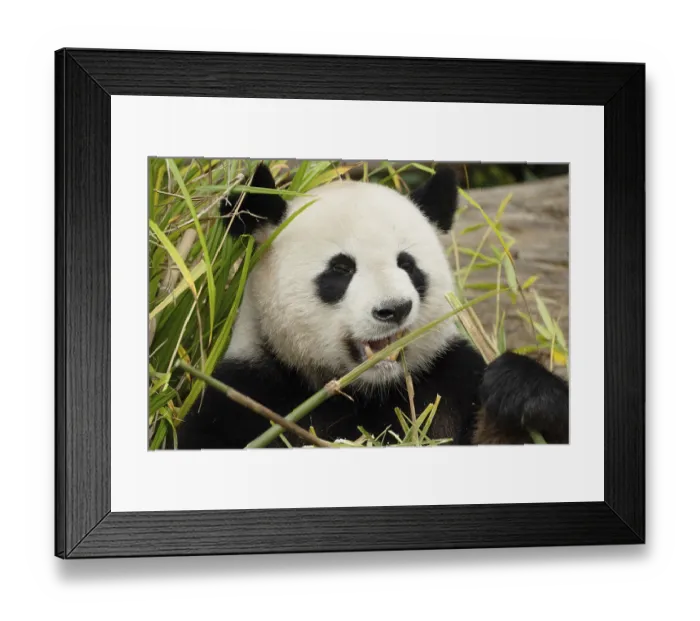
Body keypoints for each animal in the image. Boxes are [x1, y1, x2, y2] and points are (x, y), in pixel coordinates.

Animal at [176, 163, 569, 449]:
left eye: (407, 265)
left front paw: (522, 393)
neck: (367, 390)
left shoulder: (449, 380)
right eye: (341, 269)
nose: (393, 309)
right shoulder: (246, 394)